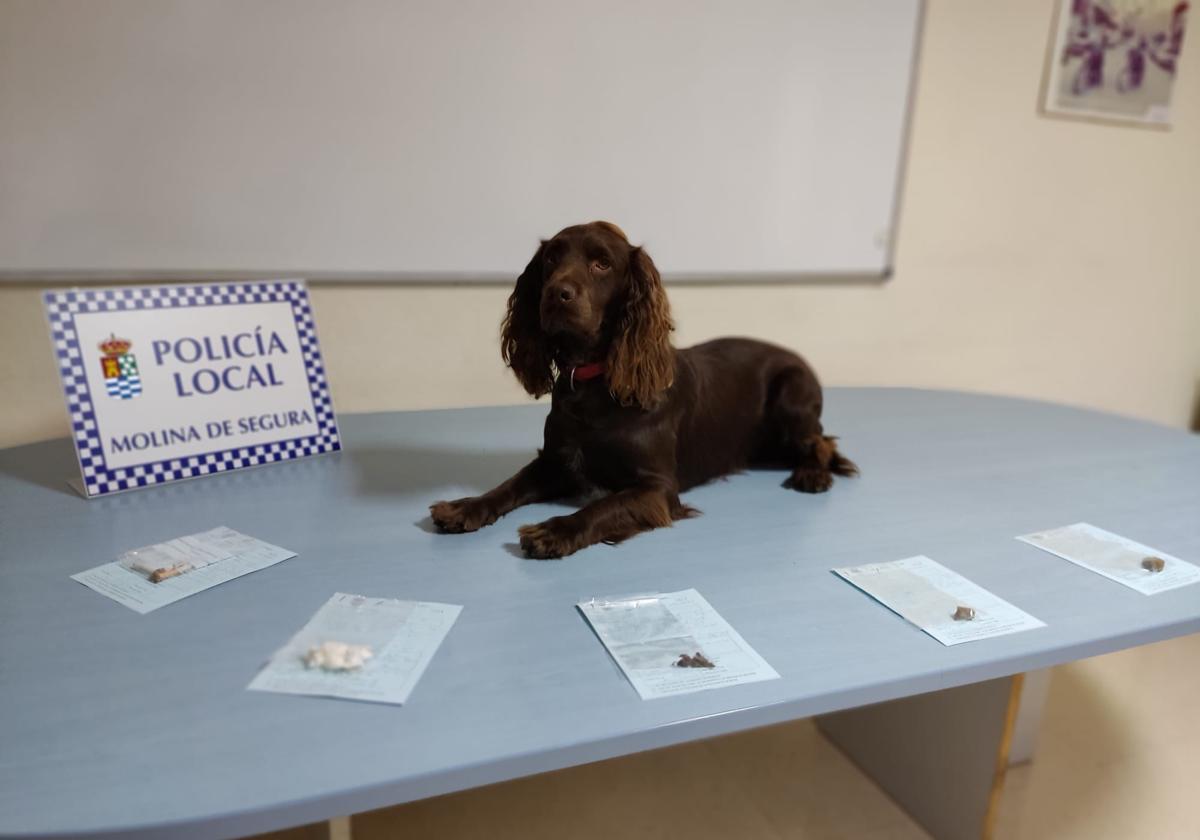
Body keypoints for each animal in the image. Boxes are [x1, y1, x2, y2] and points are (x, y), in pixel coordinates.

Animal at [429, 222, 854, 556]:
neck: (594, 382)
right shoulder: (556, 460)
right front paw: (464, 507)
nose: (556, 294)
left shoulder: (658, 488)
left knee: (822, 441)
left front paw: (554, 531)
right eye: (550, 260)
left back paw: (813, 475)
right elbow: (508, 485)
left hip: (791, 396)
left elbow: (601, 508)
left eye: (602, 264)